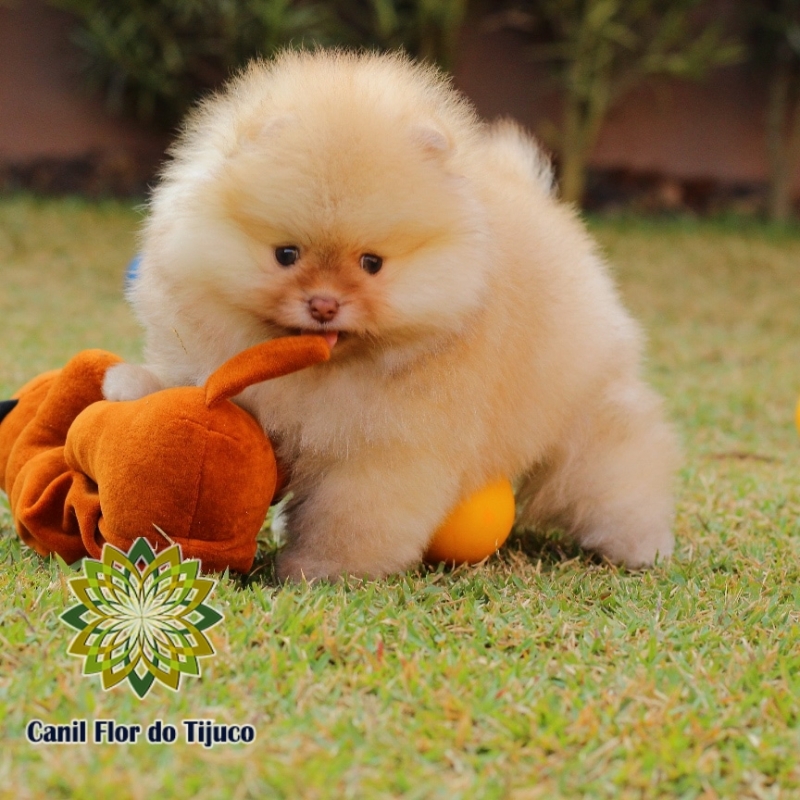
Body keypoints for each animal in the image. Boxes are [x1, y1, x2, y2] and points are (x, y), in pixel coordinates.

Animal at [104, 48, 680, 580]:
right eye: (286, 254)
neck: (317, 370)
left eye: (372, 264)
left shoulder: (387, 451)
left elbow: (354, 517)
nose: (323, 304)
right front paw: (127, 386)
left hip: (584, 419)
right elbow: (189, 386)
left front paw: (319, 571)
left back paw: (640, 545)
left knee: (617, 464)